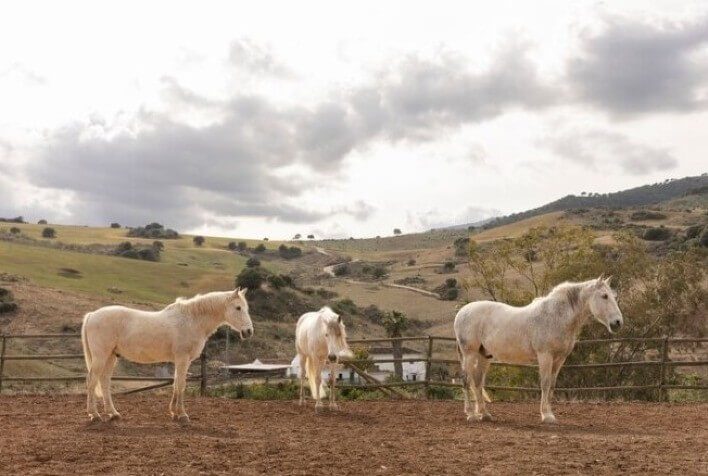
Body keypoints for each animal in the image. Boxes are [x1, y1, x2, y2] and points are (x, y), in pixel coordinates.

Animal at [81, 288, 253, 422]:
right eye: (238, 308)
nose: (249, 331)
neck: (192, 320)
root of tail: (92, 315)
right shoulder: (183, 358)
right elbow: (181, 384)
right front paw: (182, 415)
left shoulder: (181, 360)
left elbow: (176, 383)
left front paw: (174, 413)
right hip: (101, 356)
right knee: (92, 381)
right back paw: (94, 415)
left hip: (110, 356)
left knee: (104, 382)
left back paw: (113, 413)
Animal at [456, 276, 624, 424]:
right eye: (604, 296)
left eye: (613, 296)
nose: (618, 322)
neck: (556, 316)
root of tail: (462, 311)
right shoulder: (545, 356)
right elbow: (545, 383)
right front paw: (546, 415)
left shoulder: (559, 359)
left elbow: (552, 384)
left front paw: (550, 413)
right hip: (469, 354)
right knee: (466, 380)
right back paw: (471, 415)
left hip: (484, 356)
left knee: (477, 382)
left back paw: (484, 414)